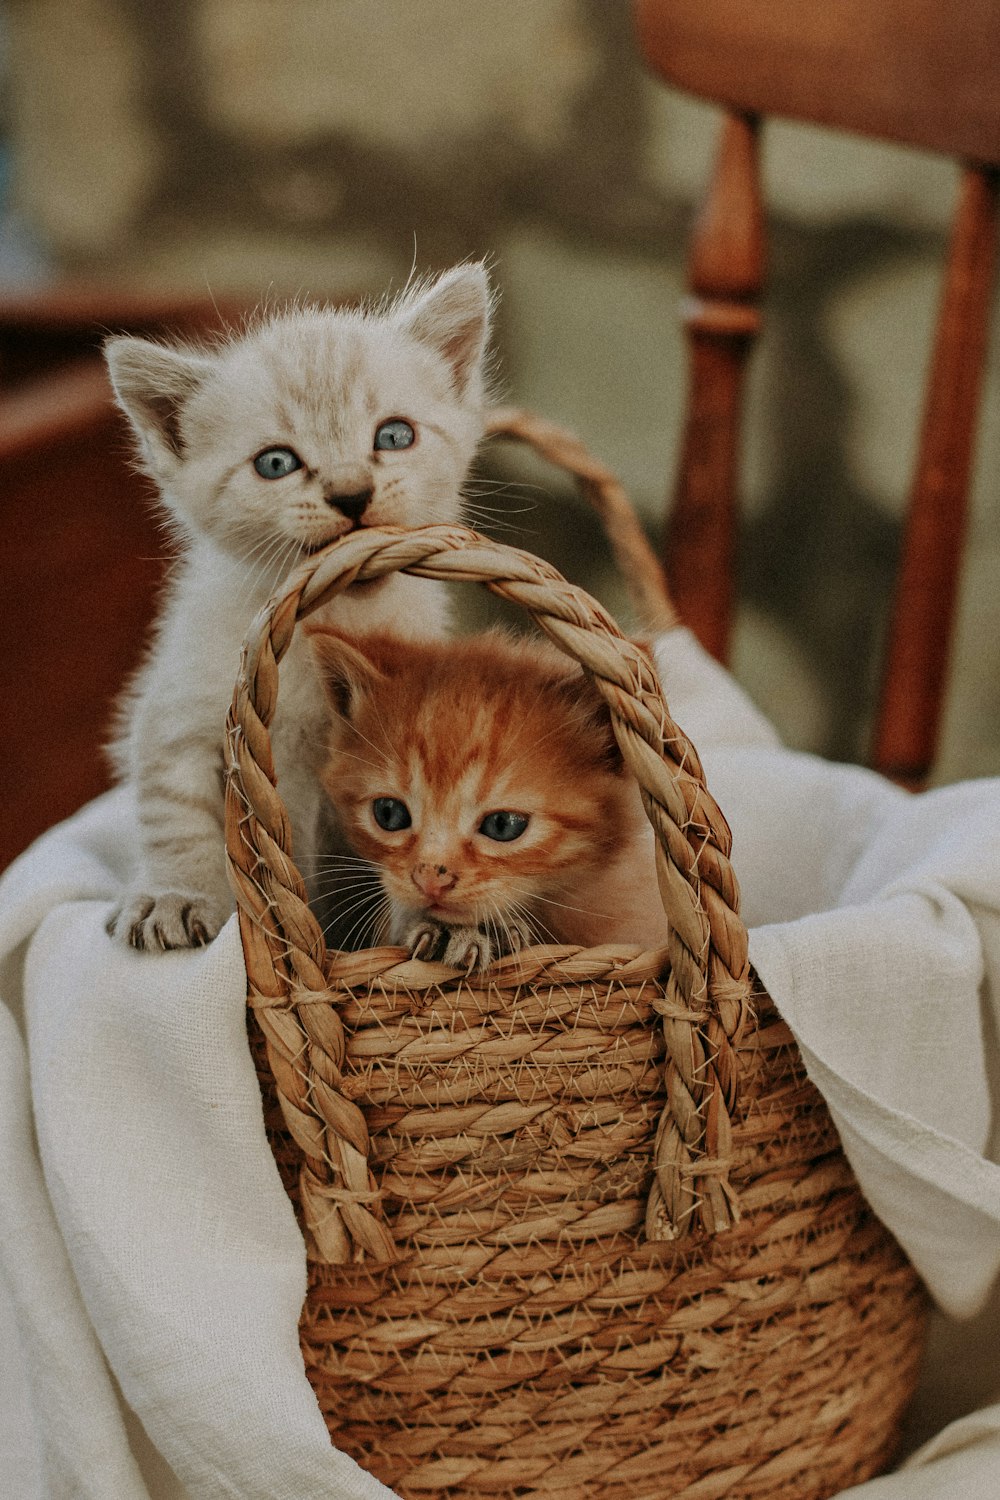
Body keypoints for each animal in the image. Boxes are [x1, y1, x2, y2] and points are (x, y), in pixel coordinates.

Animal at [105, 265, 491, 948]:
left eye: (394, 435)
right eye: (276, 463)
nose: (351, 492)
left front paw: (437, 923)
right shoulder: (178, 707)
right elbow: (174, 813)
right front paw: (176, 895)